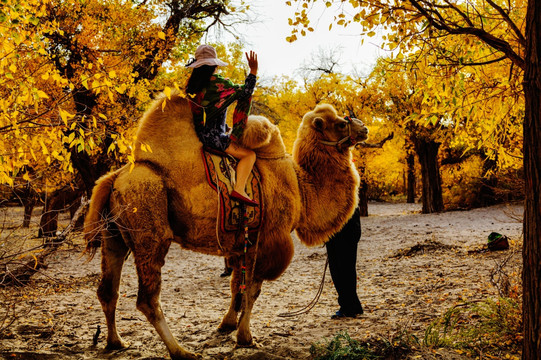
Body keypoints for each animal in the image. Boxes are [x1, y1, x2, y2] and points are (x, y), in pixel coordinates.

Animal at [83, 93, 368, 360]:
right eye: (341, 123)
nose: (364, 128)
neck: (301, 188)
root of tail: (114, 178)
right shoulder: (268, 240)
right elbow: (252, 289)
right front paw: (246, 337)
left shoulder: (242, 241)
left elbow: (236, 288)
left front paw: (227, 325)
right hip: (150, 229)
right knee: (147, 298)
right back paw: (181, 351)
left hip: (113, 237)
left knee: (108, 291)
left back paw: (116, 342)